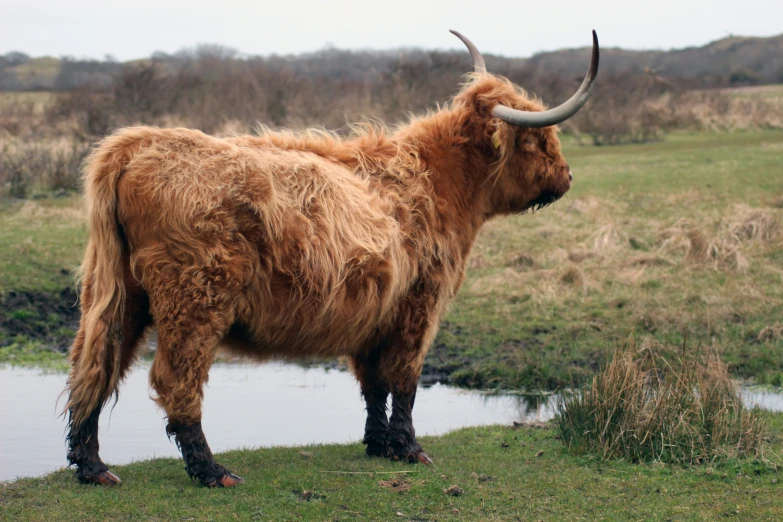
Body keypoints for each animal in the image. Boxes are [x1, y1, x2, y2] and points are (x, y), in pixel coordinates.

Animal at [66, 30, 600, 486]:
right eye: (538, 140)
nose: (569, 176)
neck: (440, 181)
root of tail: (136, 144)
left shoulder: (374, 312)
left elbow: (373, 384)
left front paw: (378, 445)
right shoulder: (419, 304)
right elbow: (404, 379)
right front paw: (410, 449)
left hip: (117, 292)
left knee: (94, 364)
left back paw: (92, 467)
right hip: (195, 298)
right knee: (175, 379)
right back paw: (211, 471)